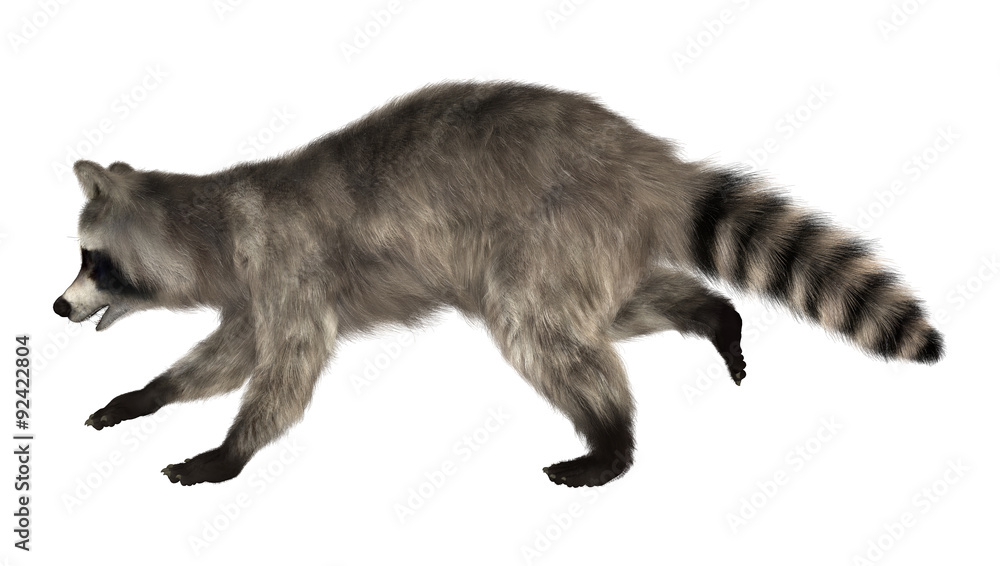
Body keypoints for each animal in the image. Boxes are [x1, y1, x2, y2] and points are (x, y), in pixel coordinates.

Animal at [53, 81, 943, 488]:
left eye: (93, 262)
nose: (58, 305)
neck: (205, 215)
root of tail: (645, 161)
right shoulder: (254, 285)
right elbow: (231, 352)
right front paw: (149, 394)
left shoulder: (286, 260)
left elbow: (286, 365)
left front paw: (228, 451)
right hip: (587, 241)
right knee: (611, 312)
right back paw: (710, 314)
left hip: (555, 222)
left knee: (544, 330)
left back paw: (611, 438)